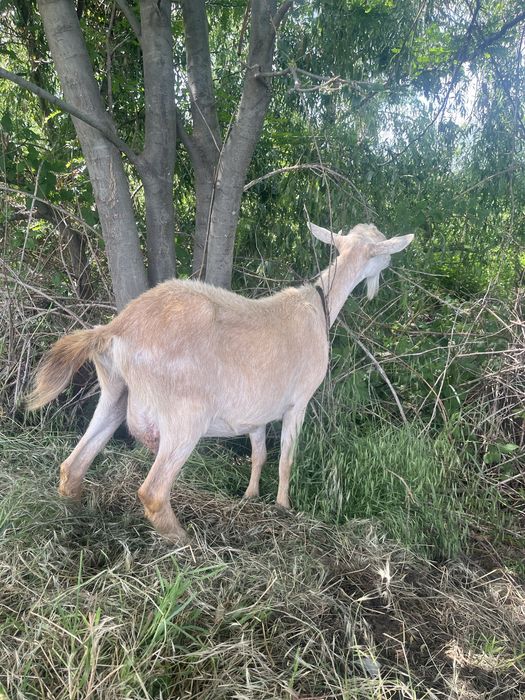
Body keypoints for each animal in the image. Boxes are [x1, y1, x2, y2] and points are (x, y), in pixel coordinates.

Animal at [27, 222, 414, 543]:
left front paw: (250, 496)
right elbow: (286, 457)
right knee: (153, 492)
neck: (318, 306)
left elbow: (259, 454)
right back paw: (185, 541)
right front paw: (283, 506)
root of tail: (115, 330)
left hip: (113, 393)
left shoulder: (255, 412)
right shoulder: (299, 400)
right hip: (185, 415)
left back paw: (75, 519)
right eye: (383, 248)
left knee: (73, 466)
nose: (390, 269)